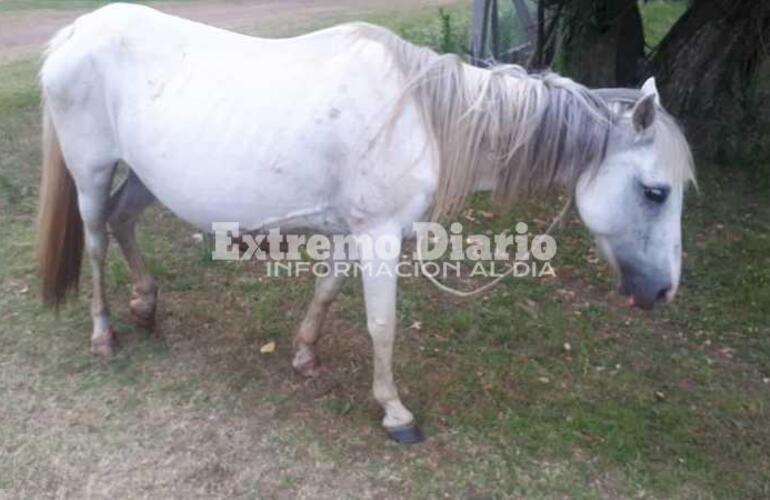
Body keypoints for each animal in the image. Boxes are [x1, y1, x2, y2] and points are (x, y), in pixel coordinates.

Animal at [37, 3, 696, 442]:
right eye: (656, 192)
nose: (663, 291)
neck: (421, 118)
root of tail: (77, 30)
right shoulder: (378, 238)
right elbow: (383, 325)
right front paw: (395, 412)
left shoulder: (352, 233)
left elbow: (327, 291)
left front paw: (304, 356)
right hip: (91, 173)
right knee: (96, 241)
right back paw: (104, 334)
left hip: (146, 177)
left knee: (123, 223)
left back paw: (147, 305)